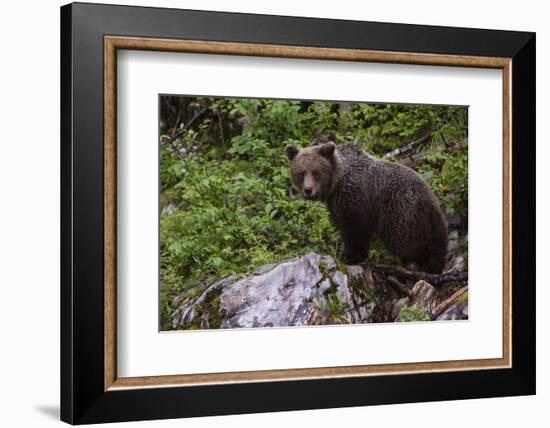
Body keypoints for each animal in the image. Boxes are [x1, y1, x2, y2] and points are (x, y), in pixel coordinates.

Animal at [286, 141, 450, 274]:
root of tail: (430, 202)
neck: (336, 183)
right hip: (430, 220)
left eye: (316, 172)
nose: (308, 190)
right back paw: (434, 267)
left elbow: (355, 231)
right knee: (438, 242)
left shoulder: (354, 198)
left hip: (400, 211)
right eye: (301, 172)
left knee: (404, 242)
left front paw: (349, 257)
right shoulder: (336, 203)